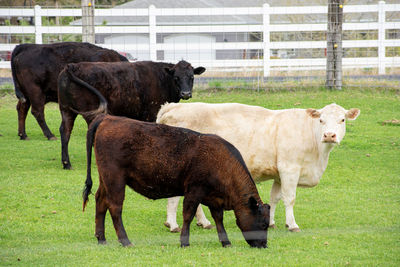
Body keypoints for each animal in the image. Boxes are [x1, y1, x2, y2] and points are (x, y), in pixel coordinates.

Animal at [57, 60, 205, 170]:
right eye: (176, 78)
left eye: (192, 77)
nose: (185, 93)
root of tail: (72, 66)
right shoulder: (151, 114)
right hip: (90, 111)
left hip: (66, 110)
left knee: (65, 131)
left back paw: (66, 163)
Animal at [83, 114, 270, 248]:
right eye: (263, 224)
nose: (264, 245)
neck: (222, 162)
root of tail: (108, 118)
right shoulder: (194, 190)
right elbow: (188, 215)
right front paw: (184, 242)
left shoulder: (214, 197)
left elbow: (218, 218)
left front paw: (226, 242)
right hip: (115, 180)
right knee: (115, 207)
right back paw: (125, 241)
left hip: (105, 179)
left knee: (100, 201)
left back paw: (101, 238)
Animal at [156, 102, 360, 232]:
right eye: (321, 120)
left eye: (342, 120)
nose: (329, 135)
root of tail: (172, 106)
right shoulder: (290, 169)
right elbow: (290, 198)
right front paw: (293, 225)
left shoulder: (279, 174)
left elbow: (275, 198)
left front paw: (271, 222)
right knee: (174, 197)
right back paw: (173, 224)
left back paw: (203, 222)